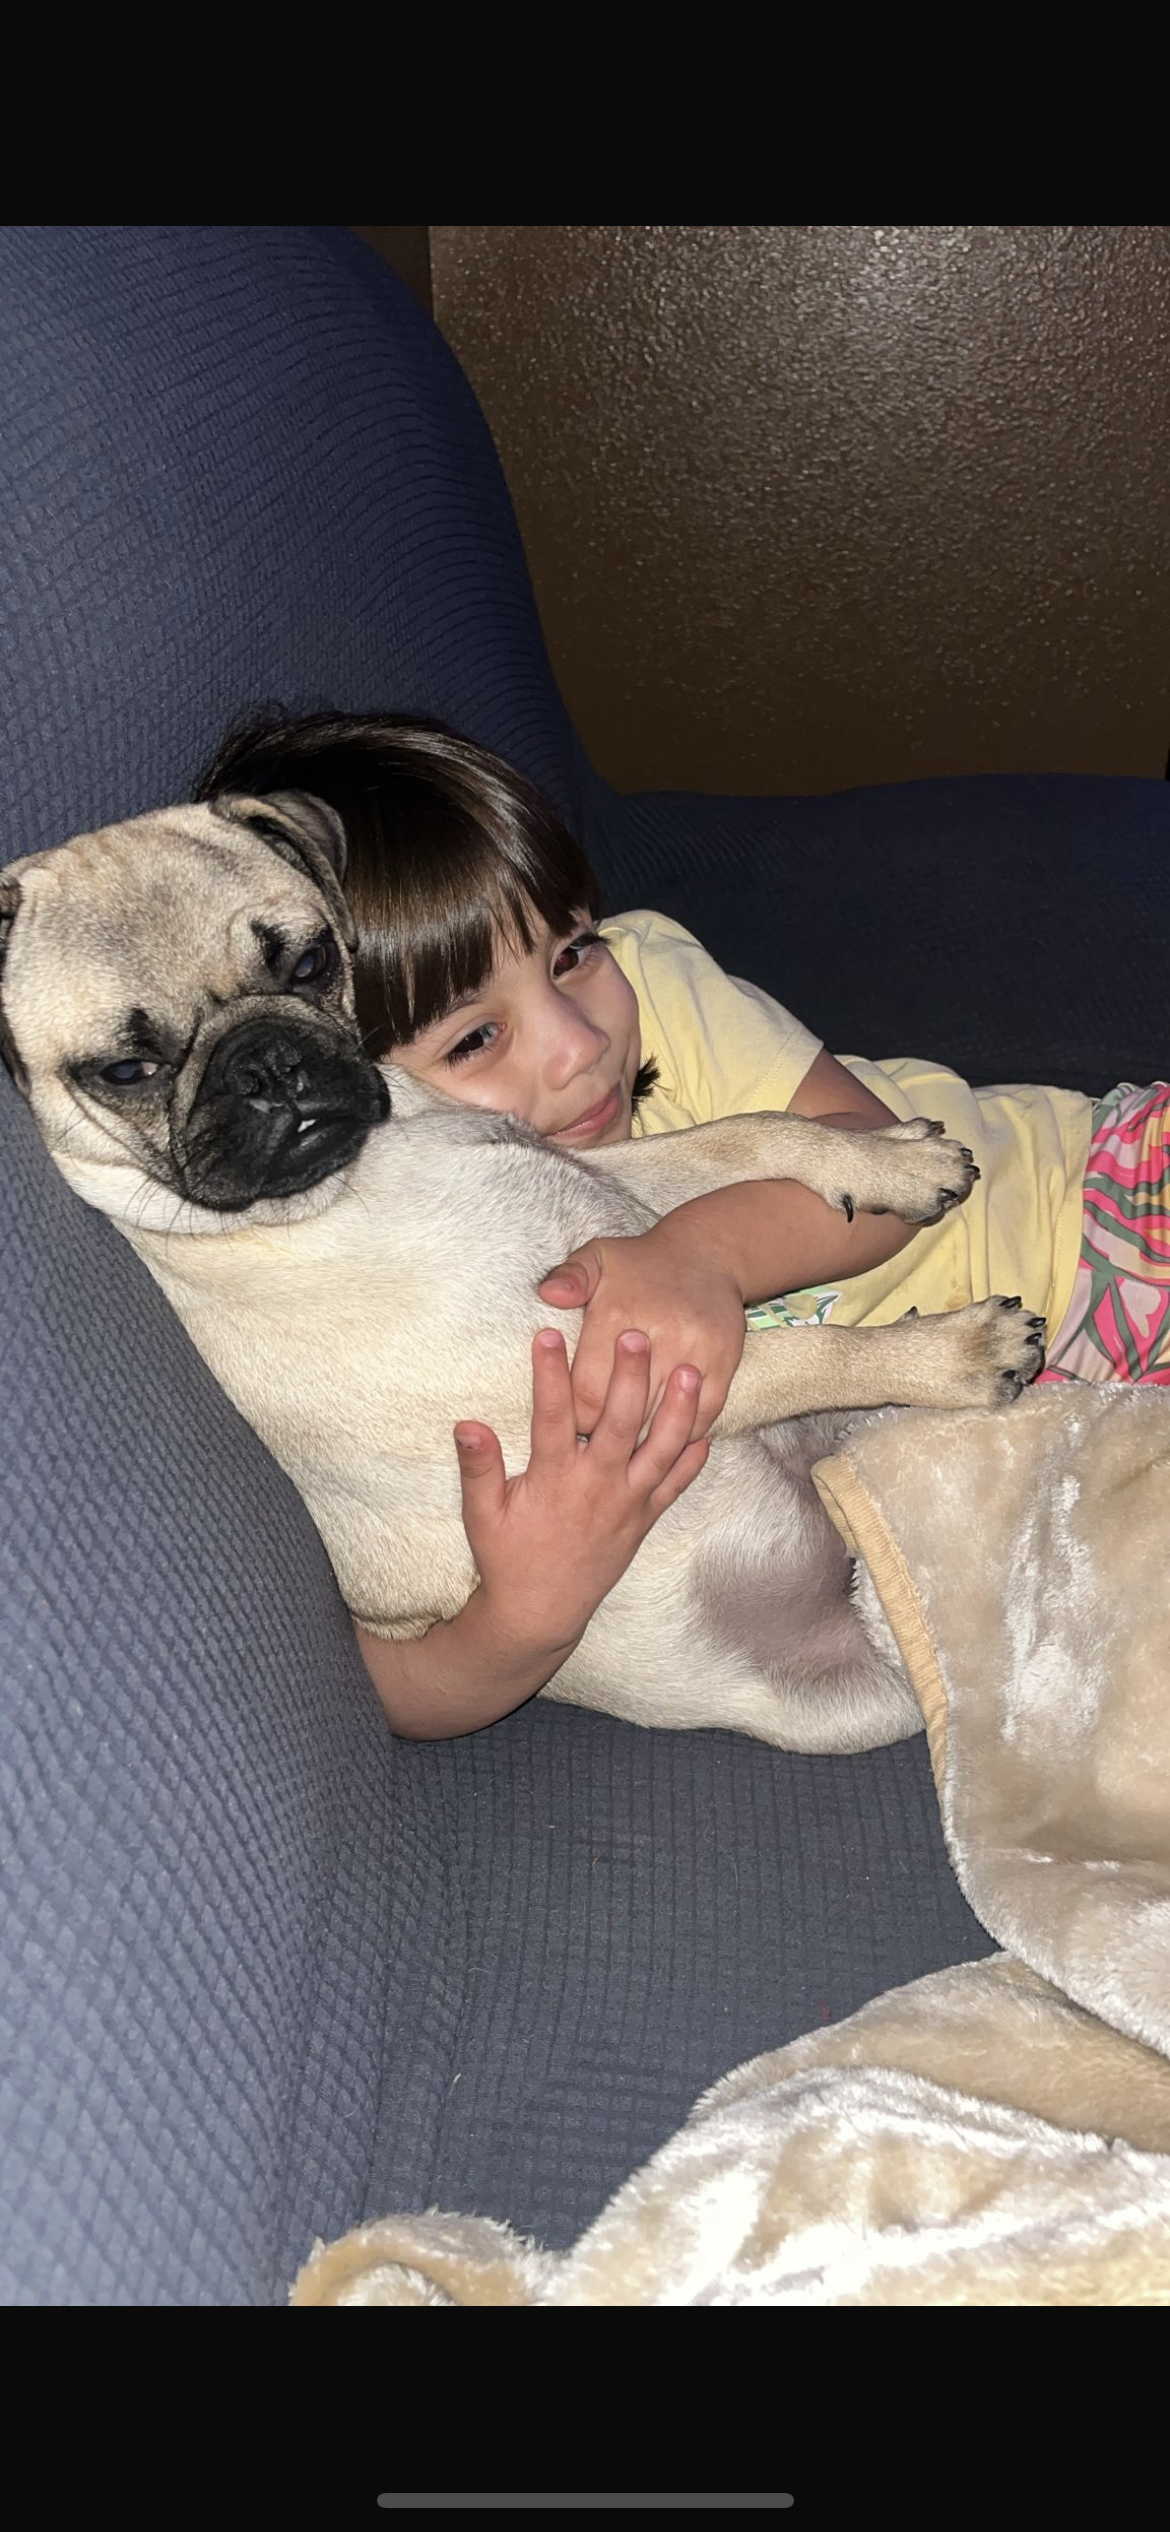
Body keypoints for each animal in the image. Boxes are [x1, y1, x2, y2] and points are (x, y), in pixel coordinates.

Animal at [0, 792, 1045, 1751]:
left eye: (309, 963)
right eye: (126, 1071)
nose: (268, 1063)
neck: (369, 1173)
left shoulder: (609, 1180)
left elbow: (748, 1138)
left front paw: (886, 1162)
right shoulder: (634, 1372)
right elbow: (821, 1353)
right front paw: (957, 1351)